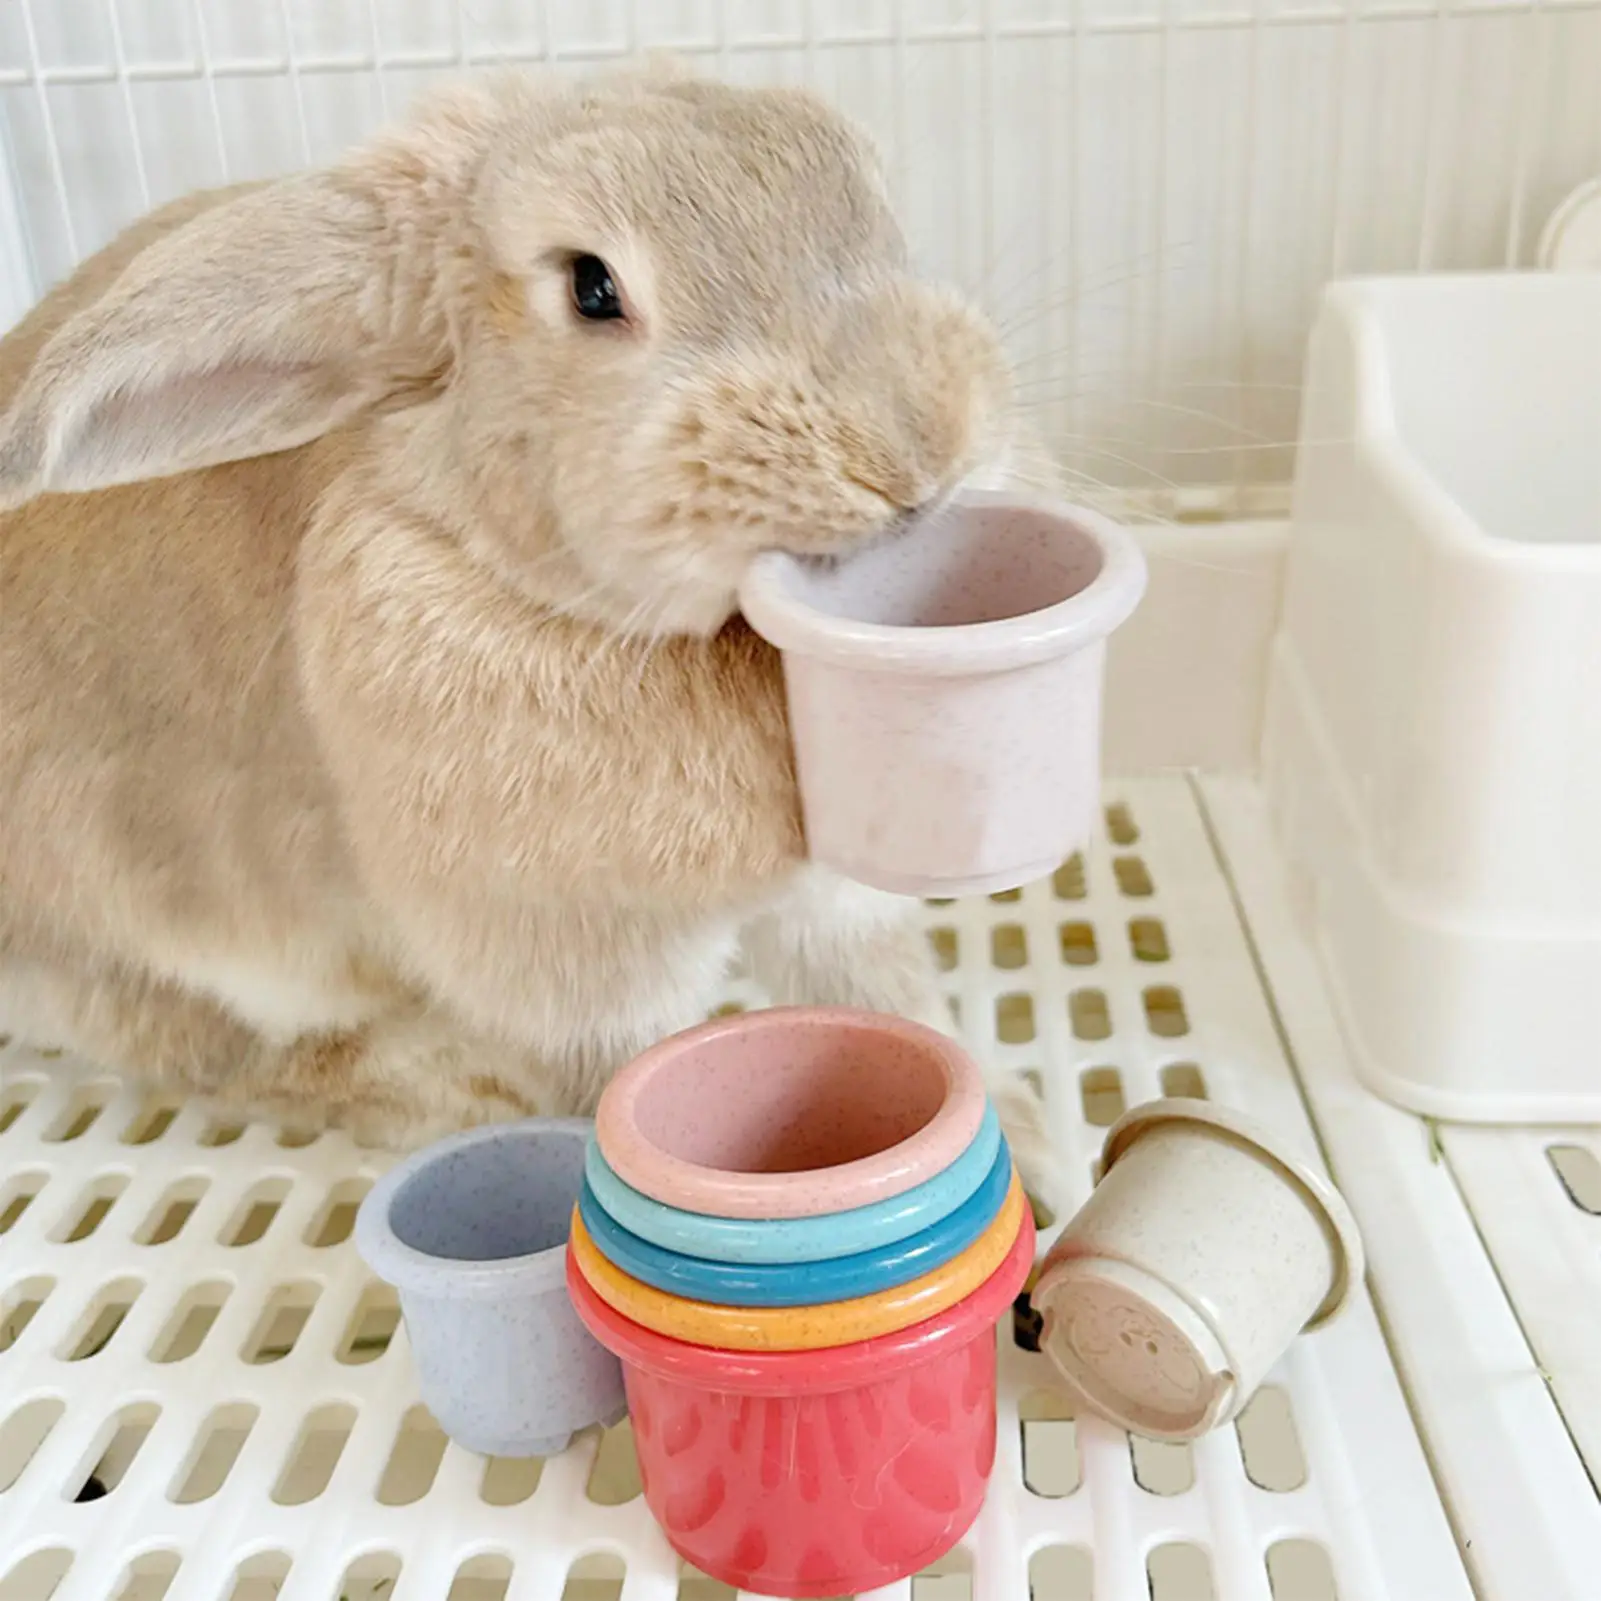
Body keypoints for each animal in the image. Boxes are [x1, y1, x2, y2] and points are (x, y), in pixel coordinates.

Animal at [0, 64, 1062, 1204]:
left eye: (865, 190)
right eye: (591, 287)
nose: (921, 450)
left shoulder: (836, 905)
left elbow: (890, 994)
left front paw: (1031, 1149)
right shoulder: (572, 969)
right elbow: (624, 1075)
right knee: (229, 1053)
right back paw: (457, 1086)